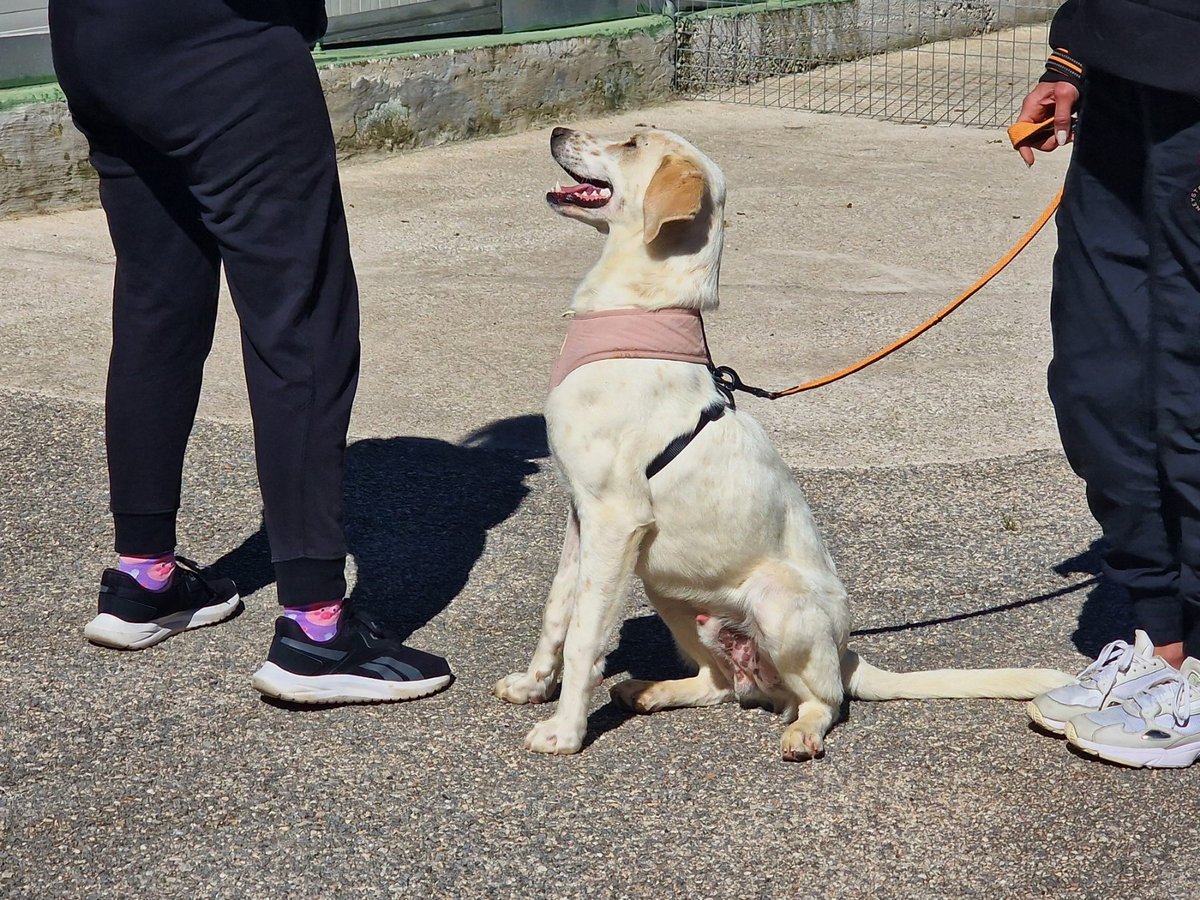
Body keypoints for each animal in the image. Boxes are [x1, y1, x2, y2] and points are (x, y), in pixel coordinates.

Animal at [493, 126, 1072, 760]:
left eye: (631, 142)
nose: (557, 131)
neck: (634, 318)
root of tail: (847, 654)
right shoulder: (583, 514)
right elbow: (558, 612)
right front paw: (533, 685)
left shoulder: (616, 519)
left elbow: (585, 636)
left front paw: (566, 730)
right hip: (664, 585)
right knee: (720, 684)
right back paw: (650, 690)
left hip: (773, 598)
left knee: (823, 701)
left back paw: (802, 732)